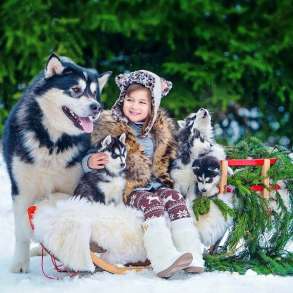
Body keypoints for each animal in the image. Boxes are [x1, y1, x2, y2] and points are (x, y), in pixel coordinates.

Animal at [2, 53, 110, 272]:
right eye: (76, 90)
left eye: (95, 94)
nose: (96, 107)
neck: (53, 141)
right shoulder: (22, 190)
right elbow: (21, 230)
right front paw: (20, 263)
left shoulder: (73, 186)